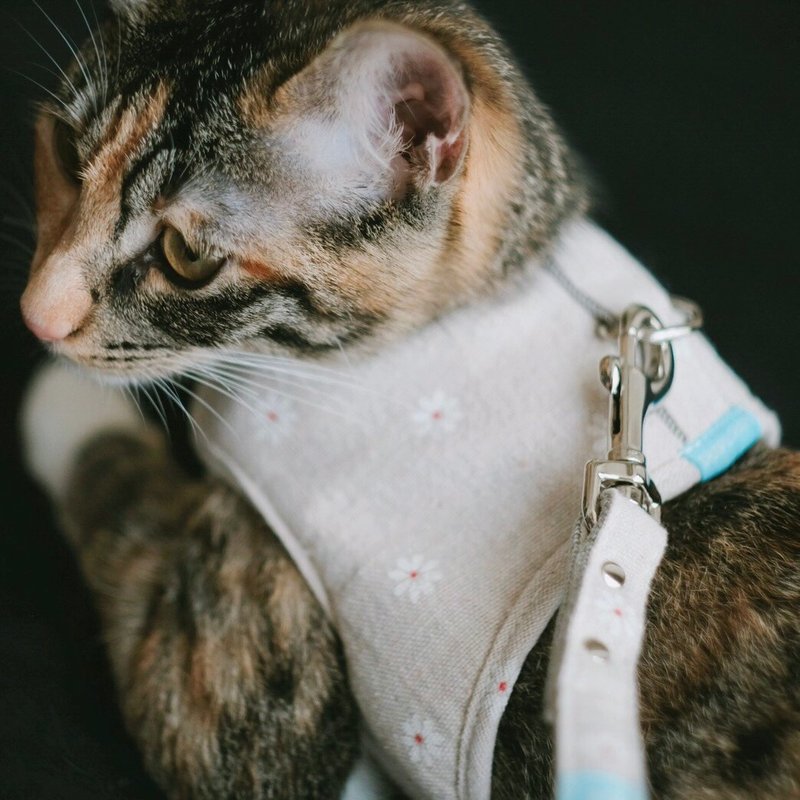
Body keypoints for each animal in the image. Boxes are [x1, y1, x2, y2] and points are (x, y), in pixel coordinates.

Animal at [18, 1, 800, 800]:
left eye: (187, 256)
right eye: (66, 152)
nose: (35, 316)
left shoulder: (254, 717)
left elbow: (122, 501)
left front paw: (59, 402)